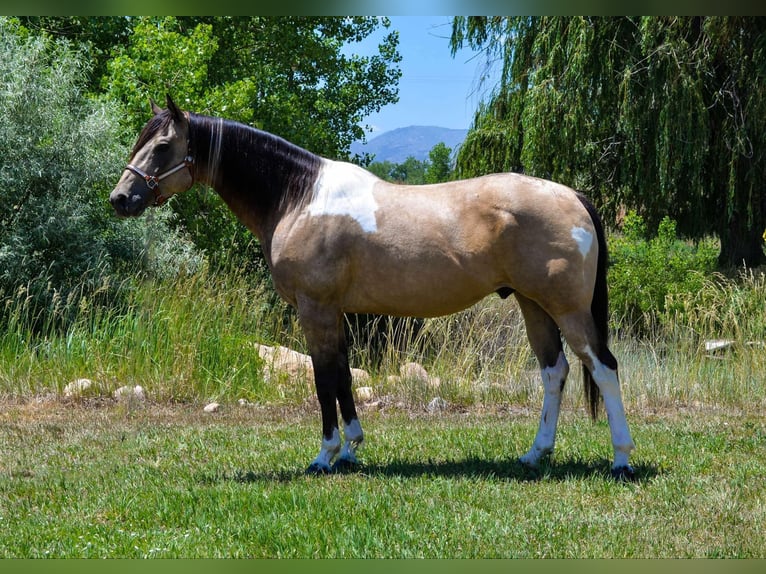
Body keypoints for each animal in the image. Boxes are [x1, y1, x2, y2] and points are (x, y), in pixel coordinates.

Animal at [110, 96, 635, 480]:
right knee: (554, 371)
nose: (120, 199)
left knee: (603, 368)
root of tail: (573, 196)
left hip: (566, 308)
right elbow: (343, 376)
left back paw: (622, 459)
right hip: (533, 305)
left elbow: (323, 380)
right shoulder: (335, 312)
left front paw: (325, 455)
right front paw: (351, 449)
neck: (299, 197)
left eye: (162, 147)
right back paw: (534, 455)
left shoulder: (315, 309)